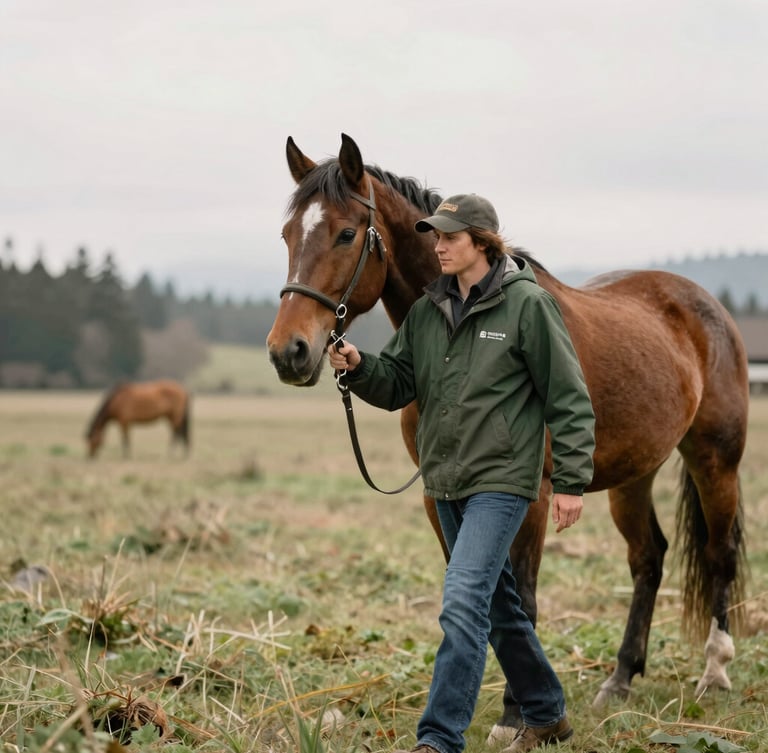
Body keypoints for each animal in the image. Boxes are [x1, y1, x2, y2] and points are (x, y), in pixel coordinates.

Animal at [266, 134, 749, 734]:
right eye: (287, 234)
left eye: (347, 233)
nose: (288, 352)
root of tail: (707, 308)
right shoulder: (440, 497)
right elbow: (484, 596)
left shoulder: (532, 496)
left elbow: (525, 599)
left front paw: (519, 715)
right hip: (634, 474)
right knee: (648, 558)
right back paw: (619, 680)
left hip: (715, 459)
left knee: (719, 552)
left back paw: (716, 671)